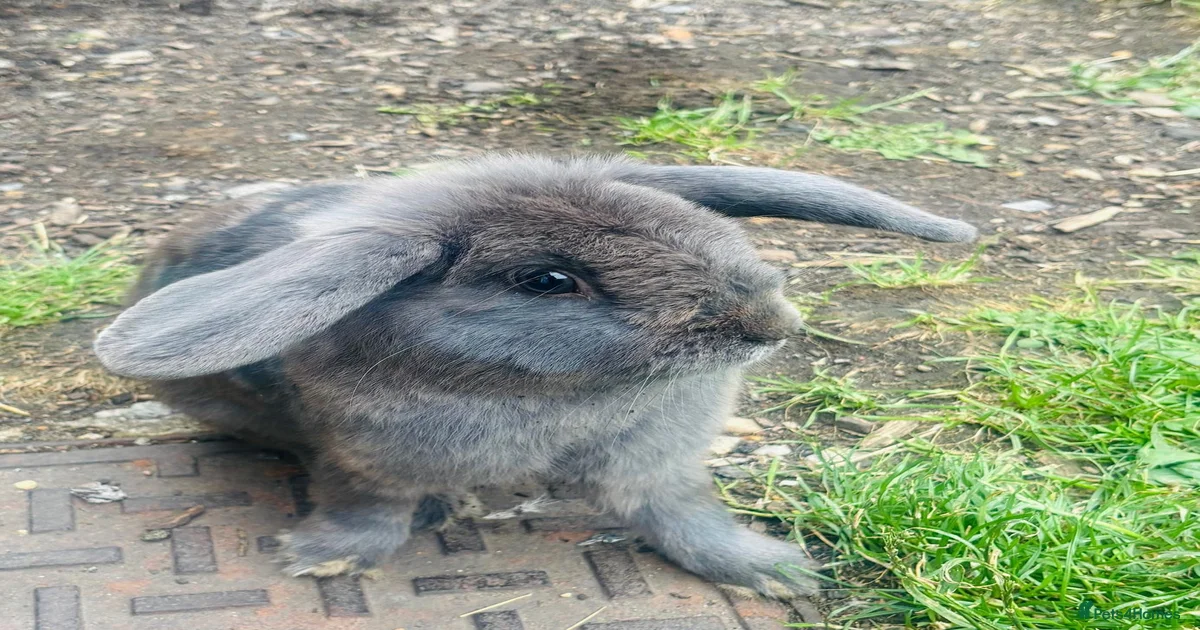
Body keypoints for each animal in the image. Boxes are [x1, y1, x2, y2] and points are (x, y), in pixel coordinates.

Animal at [93, 153, 976, 599]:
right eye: (548, 281)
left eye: (682, 221)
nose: (772, 325)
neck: (568, 402)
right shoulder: (362, 462)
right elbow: (364, 514)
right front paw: (320, 560)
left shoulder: (656, 467)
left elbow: (686, 518)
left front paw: (777, 573)